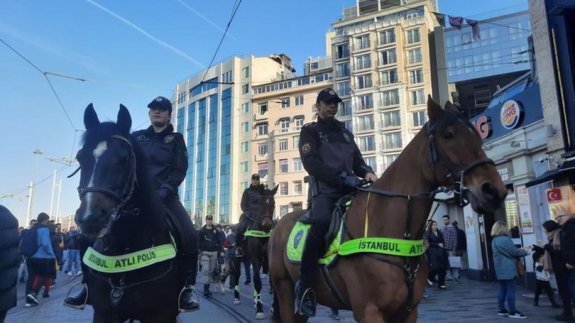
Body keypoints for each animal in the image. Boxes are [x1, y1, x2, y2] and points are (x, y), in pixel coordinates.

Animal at [268, 97, 506, 323]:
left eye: (476, 135)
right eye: (448, 134)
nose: (493, 190)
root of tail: (279, 224)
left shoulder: (408, 312)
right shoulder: (368, 311)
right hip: (284, 288)